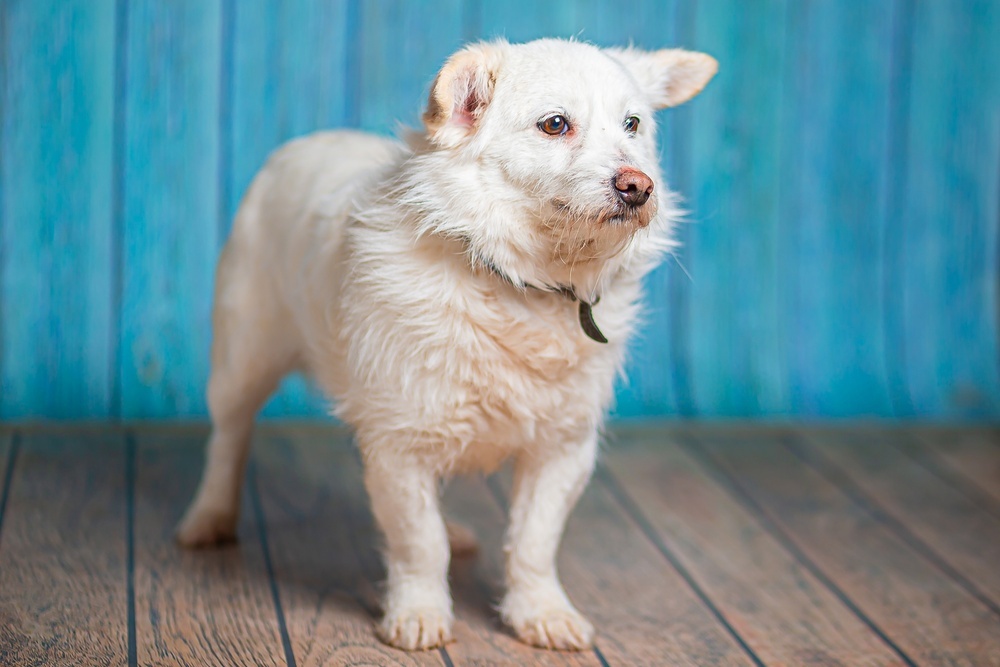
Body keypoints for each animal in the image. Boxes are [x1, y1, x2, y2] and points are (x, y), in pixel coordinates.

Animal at [176, 37, 716, 652]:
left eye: (633, 125)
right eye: (555, 125)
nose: (639, 185)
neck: (521, 282)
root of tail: (309, 140)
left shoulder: (563, 448)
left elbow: (534, 542)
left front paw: (540, 610)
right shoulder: (400, 443)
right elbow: (418, 540)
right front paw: (419, 610)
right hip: (242, 359)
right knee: (229, 437)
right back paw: (210, 516)